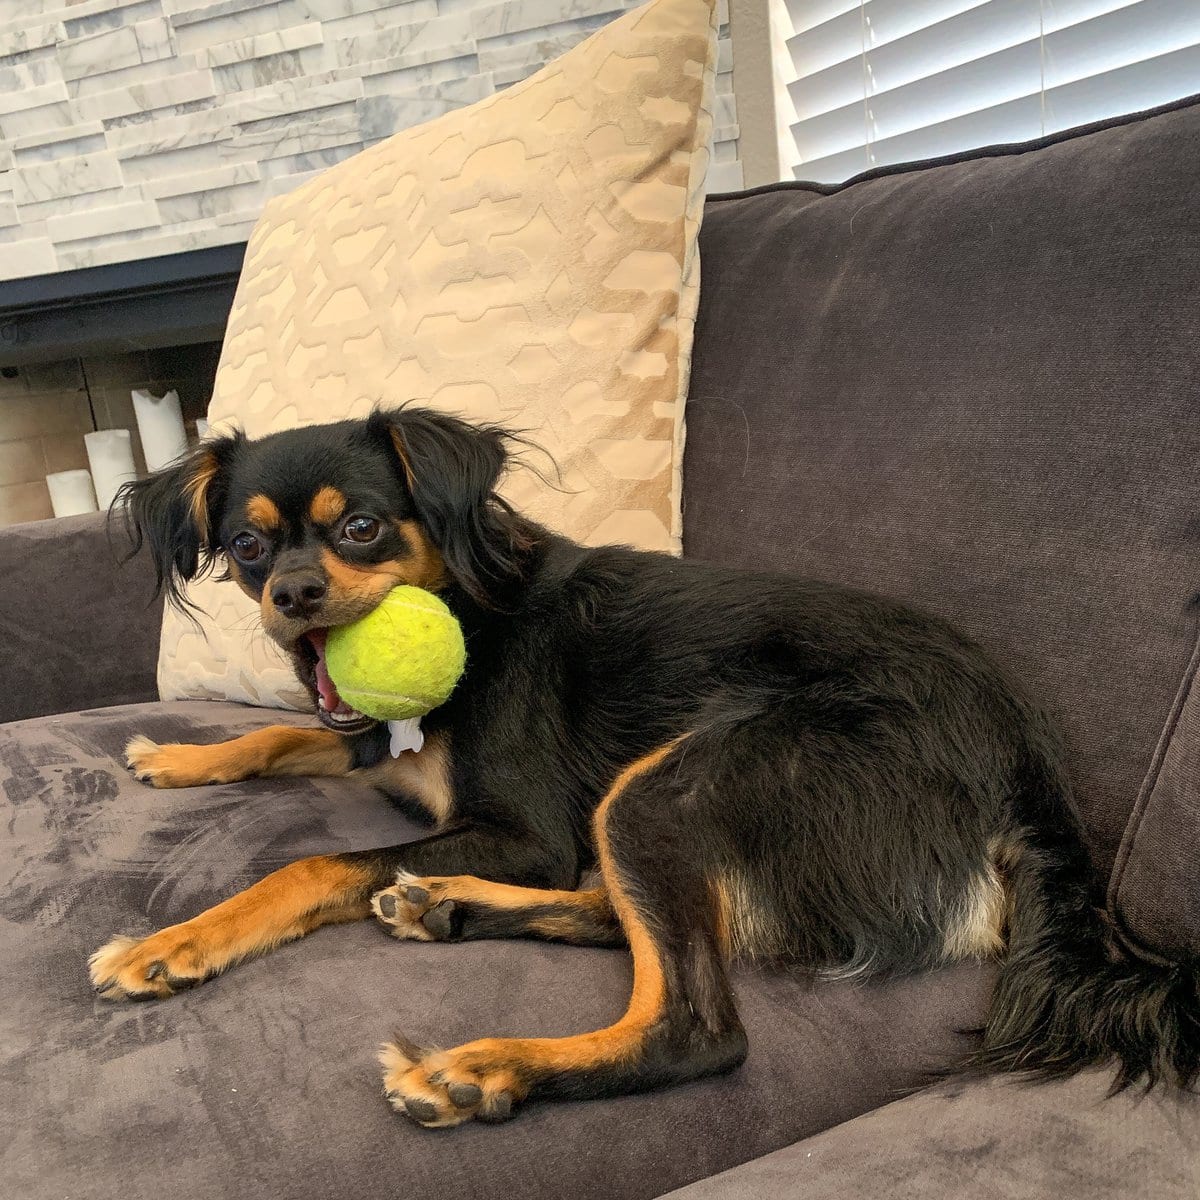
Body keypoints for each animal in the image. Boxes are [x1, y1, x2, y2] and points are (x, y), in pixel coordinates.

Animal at [91, 405, 1200, 1123]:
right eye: (246, 547)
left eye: (360, 525)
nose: (293, 598)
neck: (468, 609)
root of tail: (1030, 776)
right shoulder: (370, 739)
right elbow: (291, 733)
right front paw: (181, 754)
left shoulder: (529, 834)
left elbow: (312, 863)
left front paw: (175, 942)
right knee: (635, 922)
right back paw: (444, 903)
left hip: (673, 785)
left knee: (694, 1023)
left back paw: (483, 1064)